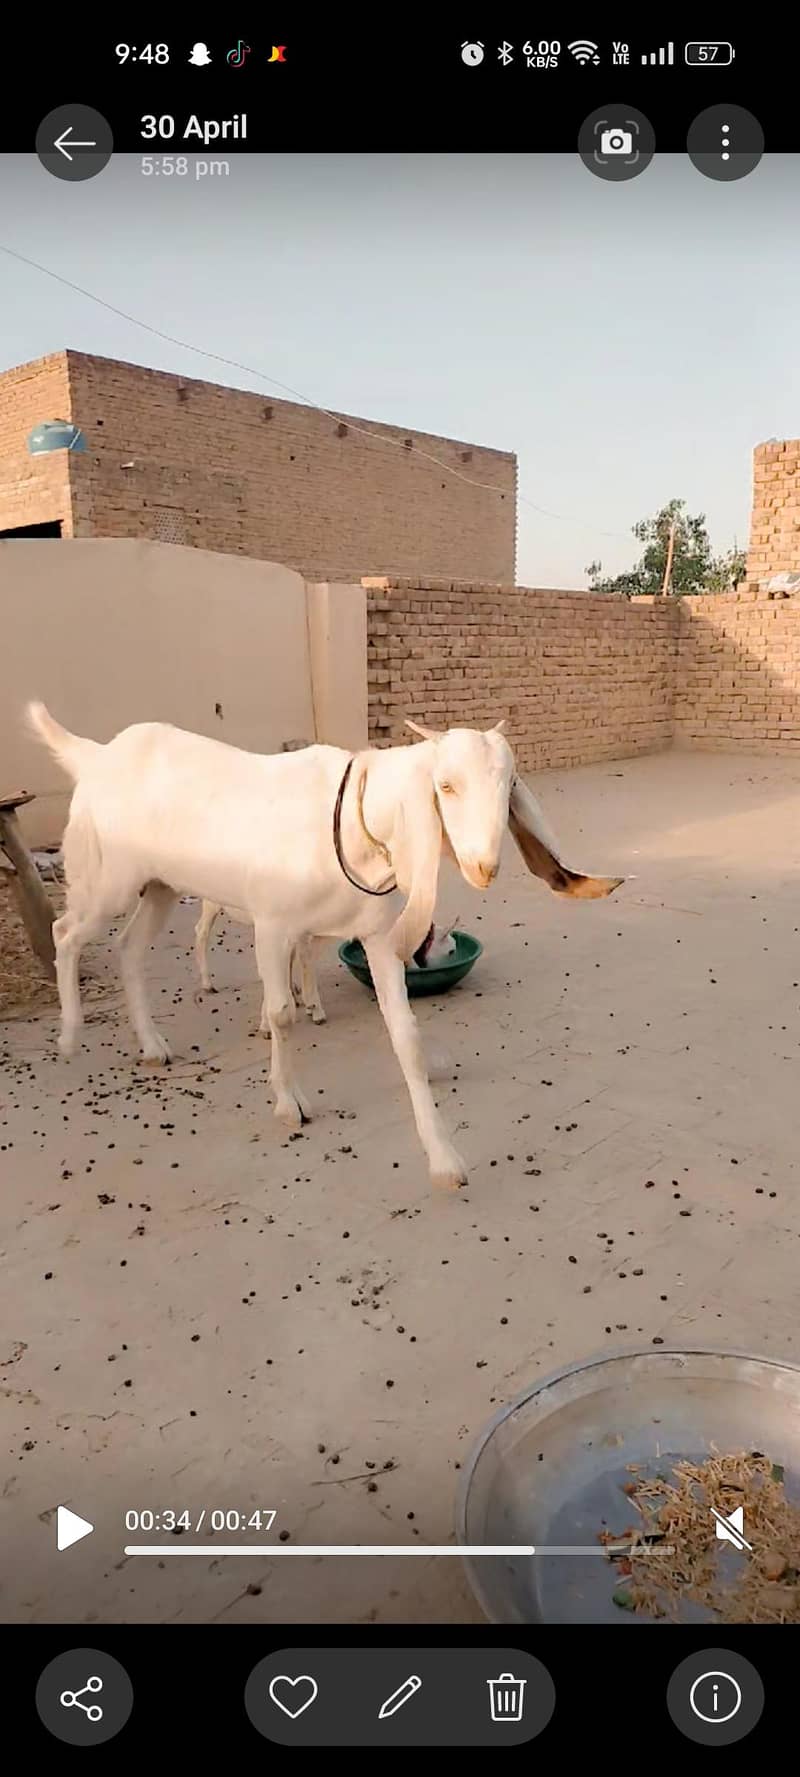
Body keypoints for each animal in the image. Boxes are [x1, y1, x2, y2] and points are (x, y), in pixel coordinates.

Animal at [28, 704, 623, 1190]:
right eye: (446, 786)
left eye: (511, 782)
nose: (484, 866)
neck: (354, 827)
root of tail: (97, 755)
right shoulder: (272, 926)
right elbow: (281, 1014)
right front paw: (289, 1103)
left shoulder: (377, 936)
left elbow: (405, 1034)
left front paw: (443, 1159)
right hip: (107, 877)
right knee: (66, 932)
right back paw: (69, 1034)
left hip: (160, 885)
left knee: (129, 948)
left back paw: (153, 1046)